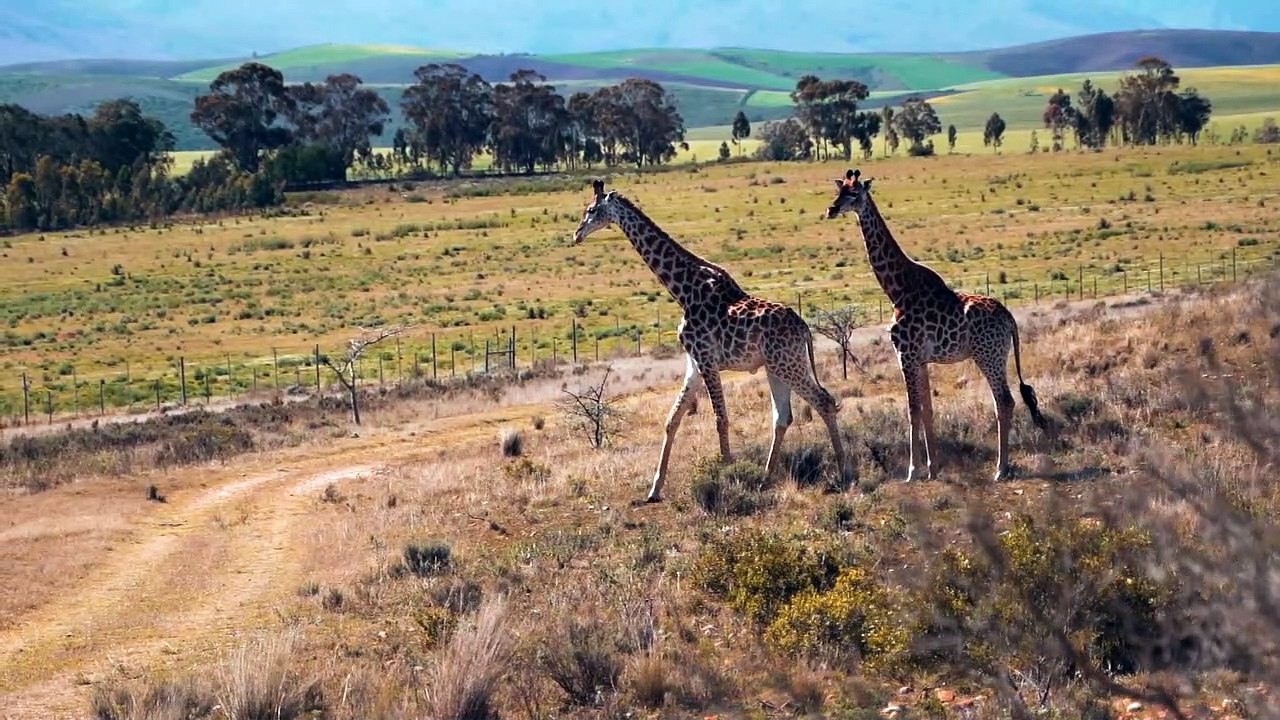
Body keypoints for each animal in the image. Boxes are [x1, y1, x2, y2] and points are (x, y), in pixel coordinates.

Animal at [573, 179, 854, 502]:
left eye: (591, 210)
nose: (577, 234)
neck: (682, 290)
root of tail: (805, 329)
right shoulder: (694, 364)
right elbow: (672, 420)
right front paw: (654, 489)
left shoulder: (707, 359)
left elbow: (720, 419)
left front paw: (729, 476)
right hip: (776, 367)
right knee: (783, 416)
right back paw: (765, 478)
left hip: (788, 365)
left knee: (824, 401)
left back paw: (845, 472)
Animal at [825, 169, 1048, 482]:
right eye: (840, 190)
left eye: (854, 194)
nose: (831, 209)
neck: (896, 289)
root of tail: (1010, 319)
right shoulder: (921, 360)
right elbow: (928, 409)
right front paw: (932, 468)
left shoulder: (905, 355)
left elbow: (912, 410)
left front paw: (912, 471)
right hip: (995, 356)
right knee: (1005, 401)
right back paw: (1000, 466)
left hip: (988, 356)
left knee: (1004, 401)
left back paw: (1001, 469)